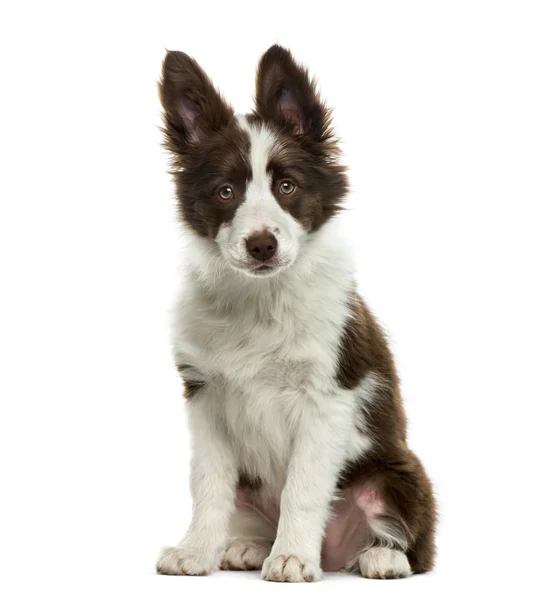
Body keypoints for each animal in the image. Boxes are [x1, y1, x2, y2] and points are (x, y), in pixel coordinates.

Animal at [155, 44, 436, 580]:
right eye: (226, 192)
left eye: (286, 186)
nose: (262, 245)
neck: (261, 299)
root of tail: (338, 555)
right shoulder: (205, 396)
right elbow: (207, 482)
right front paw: (196, 551)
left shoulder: (325, 399)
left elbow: (303, 488)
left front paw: (290, 557)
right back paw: (248, 545)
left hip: (398, 472)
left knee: (416, 542)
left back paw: (382, 555)